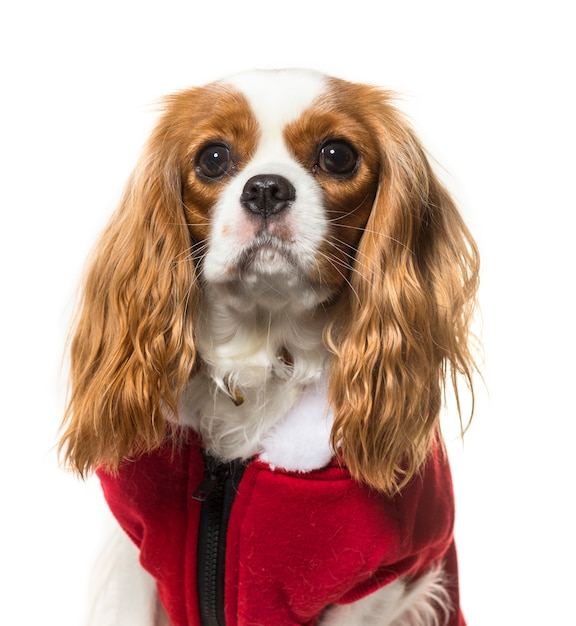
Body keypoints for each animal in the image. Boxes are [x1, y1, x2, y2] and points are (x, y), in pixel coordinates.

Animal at [60, 69, 480, 624]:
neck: (262, 343)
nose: (265, 189)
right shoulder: (134, 561)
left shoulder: (381, 584)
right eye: (213, 157)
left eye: (337, 155)